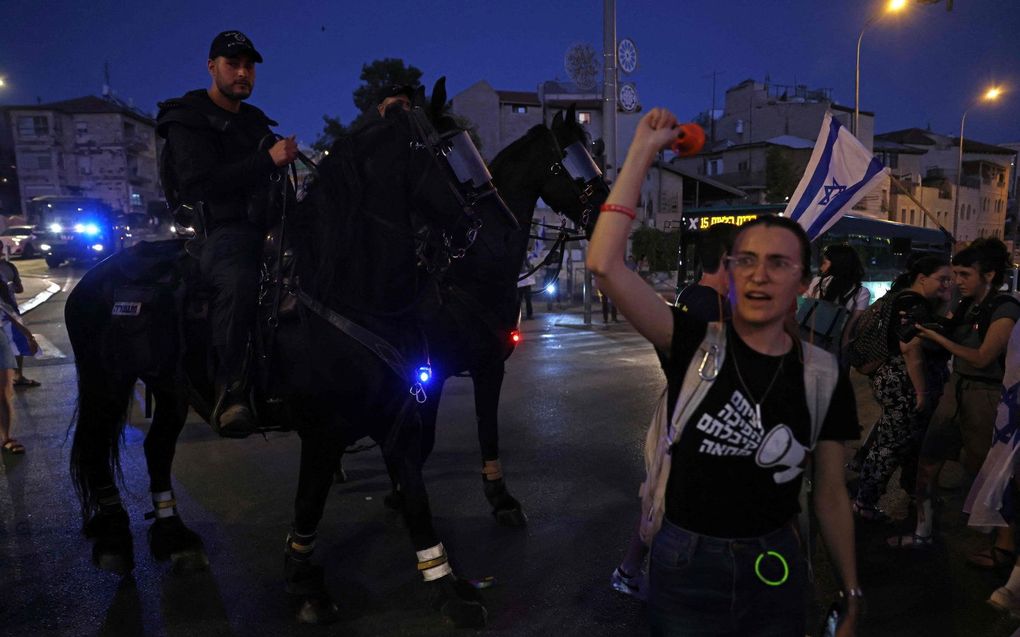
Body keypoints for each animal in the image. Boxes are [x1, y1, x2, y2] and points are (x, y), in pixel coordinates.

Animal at [64, 100, 510, 627]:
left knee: (156, 450)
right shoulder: (325, 429)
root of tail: (94, 275)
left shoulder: (395, 414)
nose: (499, 229)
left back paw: (175, 539)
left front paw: (445, 585)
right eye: (449, 151)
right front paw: (303, 582)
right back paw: (114, 539)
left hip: (171, 391)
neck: (346, 291)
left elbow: (416, 495)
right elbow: (309, 500)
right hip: (106, 383)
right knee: (96, 453)